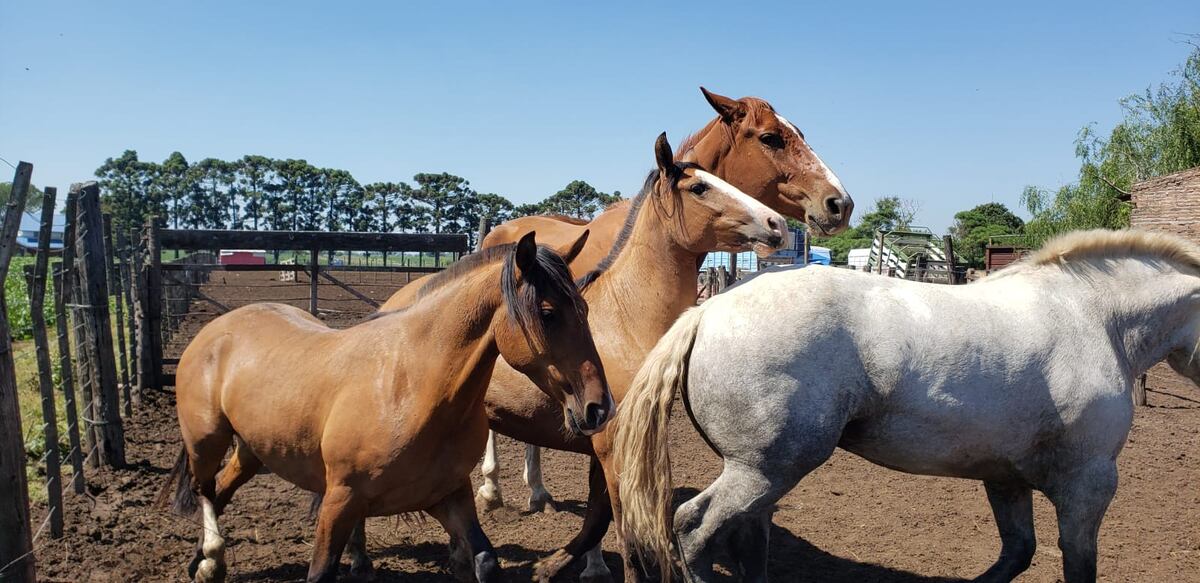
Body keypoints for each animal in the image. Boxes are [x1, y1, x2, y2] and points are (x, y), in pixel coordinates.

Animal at [161, 231, 612, 583]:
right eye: (548, 313)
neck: (411, 388)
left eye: (586, 309)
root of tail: (216, 329)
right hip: (206, 440)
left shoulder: (448, 496)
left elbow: (485, 561)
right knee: (204, 489)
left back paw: (199, 560)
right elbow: (320, 571)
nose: (599, 407)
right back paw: (211, 560)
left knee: (221, 488)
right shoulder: (339, 500)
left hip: (253, 450)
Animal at [376, 132, 789, 582]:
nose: (777, 224)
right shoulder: (609, 446)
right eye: (699, 188)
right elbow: (624, 531)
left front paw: (552, 565)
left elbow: (600, 518)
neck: (627, 320)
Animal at [615, 229, 1200, 583]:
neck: (1092, 318)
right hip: (765, 469)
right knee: (693, 528)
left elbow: (1018, 552)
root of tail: (709, 311)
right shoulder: (1089, 483)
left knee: (741, 539)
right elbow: (1076, 565)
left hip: (761, 474)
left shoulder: (1005, 478)